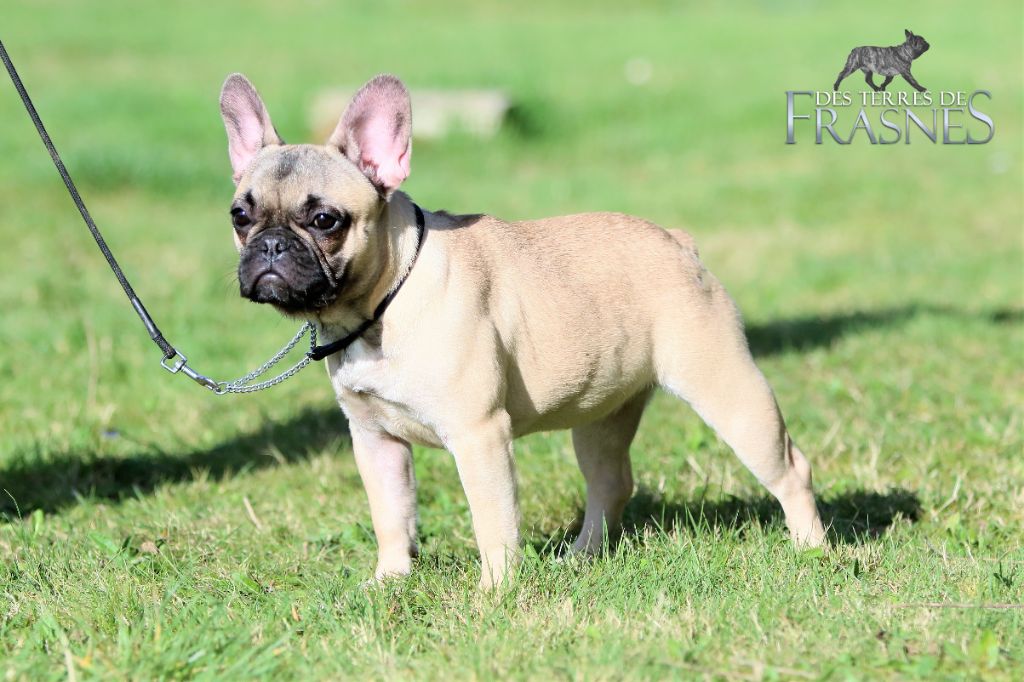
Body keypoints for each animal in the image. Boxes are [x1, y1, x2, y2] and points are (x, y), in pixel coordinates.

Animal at [220, 73, 827, 585]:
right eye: (240, 216)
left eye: (325, 220)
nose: (270, 246)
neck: (379, 307)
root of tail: (679, 243)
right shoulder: (375, 441)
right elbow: (390, 514)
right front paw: (390, 581)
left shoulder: (478, 434)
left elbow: (493, 521)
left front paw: (496, 590)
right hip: (602, 411)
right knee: (610, 482)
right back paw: (581, 555)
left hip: (727, 389)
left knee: (790, 469)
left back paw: (812, 550)